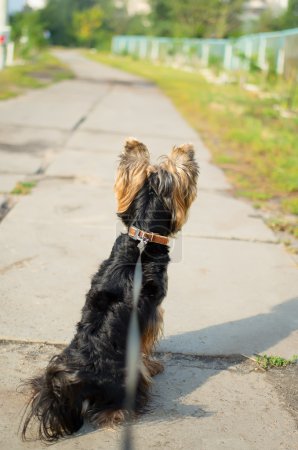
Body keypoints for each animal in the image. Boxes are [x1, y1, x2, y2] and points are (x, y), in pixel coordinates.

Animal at [20, 139, 198, 442]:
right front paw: (153, 364)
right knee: (115, 409)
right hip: (126, 380)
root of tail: (79, 378)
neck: (142, 239)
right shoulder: (152, 314)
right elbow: (146, 345)